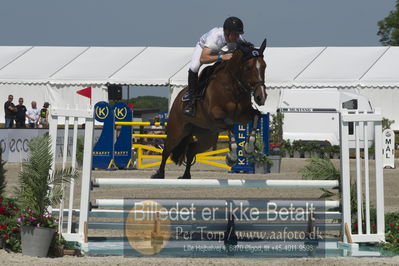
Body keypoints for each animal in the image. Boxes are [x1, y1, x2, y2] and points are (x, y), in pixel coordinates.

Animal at [152, 39, 268, 179]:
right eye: (248, 67)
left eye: (264, 66)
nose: (261, 97)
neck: (233, 87)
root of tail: (178, 98)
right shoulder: (216, 115)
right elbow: (230, 124)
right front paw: (231, 157)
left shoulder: (243, 116)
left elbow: (257, 115)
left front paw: (248, 148)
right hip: (177, 131)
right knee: (166, 151)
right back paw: (159, 174)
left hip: (207, 137)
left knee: (191, 150)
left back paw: (186, 175)